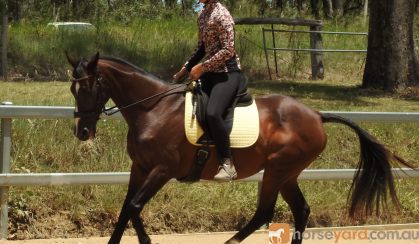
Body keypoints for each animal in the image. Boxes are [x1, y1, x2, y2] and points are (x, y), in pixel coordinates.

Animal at [67, 53, 416, 244]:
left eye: (88, 87)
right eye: (72, 88)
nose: (82, 132)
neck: (154, 109)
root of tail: (316, 115)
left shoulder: (162, 170)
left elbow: (135, 207)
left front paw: (148, 240)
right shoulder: (139, 168)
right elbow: (126, 208)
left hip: (277, 169)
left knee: (265, 212)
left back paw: (230, 242)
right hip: (287, 174)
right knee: (300, 210)